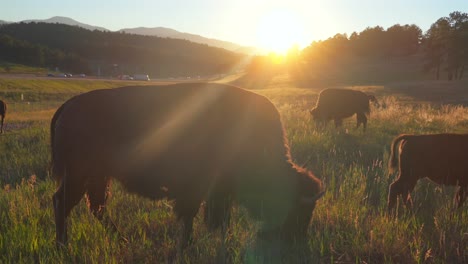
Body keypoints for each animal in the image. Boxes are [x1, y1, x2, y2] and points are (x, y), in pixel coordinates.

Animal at [50, 82, 322, 252]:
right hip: (79, 175)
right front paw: (187, 246)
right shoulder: (199, 190)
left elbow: (217, 218)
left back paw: (121, 239)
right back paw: (64, 246)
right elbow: (194, 216)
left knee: (96, 207)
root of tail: (68, 106)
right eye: (299, 209)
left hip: (97, 176)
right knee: (63, 203)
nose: (294, 240)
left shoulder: (217, 192)